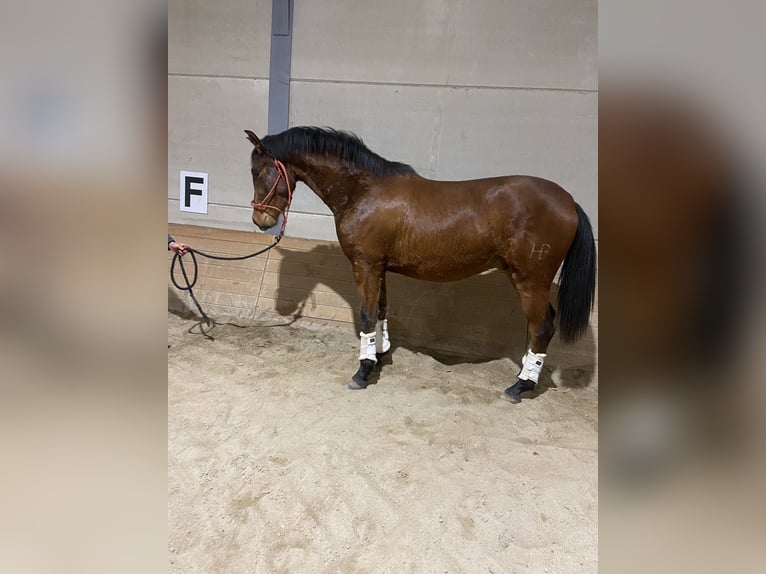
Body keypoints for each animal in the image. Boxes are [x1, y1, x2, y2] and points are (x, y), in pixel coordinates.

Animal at [243, 127, 596, 402]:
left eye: (258, 172)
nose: (260, 220)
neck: (363, 189)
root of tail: (568, 201)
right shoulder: (379, 267)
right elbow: (381, 310)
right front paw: (378, 356)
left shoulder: (365, 265)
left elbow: (367, 314)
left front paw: (362, 371)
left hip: (530, 280)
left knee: (542, 326)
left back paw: (520, 385)